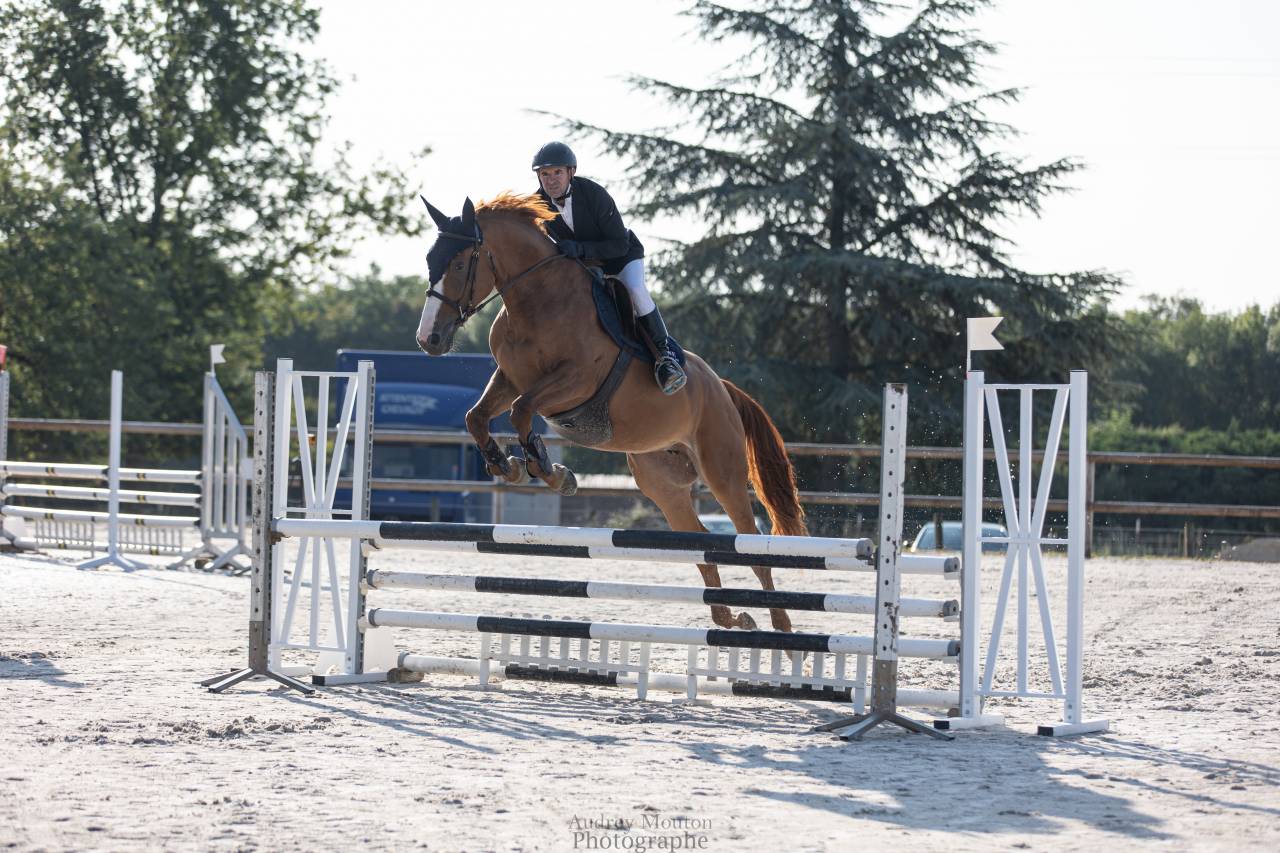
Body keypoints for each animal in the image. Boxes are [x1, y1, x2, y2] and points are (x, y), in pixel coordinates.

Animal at [415, 192, 807, 632]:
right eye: (430, 260)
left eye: (460, 264)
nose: (428, 339)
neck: (535, 300)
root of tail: (722, 387)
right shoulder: (510, 379)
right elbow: (477, 417)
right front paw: (509, 465)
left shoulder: (577, 381)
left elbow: (520, 411)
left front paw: (549, 470)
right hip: (662, 482)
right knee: (700, 539)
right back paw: (730, 617)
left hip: (722, 472)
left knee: (749, 543)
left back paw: (779, 623)